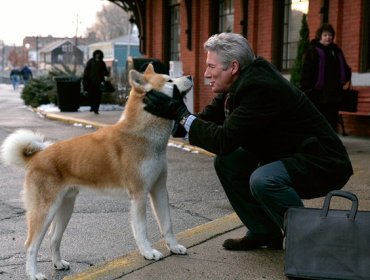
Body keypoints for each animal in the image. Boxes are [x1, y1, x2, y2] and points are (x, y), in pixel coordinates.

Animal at [2, 64, 194, 278]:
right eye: (169, 80)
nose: (190, 76)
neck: (143, 136)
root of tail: (36, 157)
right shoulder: (139, 194)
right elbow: (142, 230)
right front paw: (148, 252)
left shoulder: (159, 189)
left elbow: (168, 225)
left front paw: (174, 247)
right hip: (45, 211)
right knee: (30, 245)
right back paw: (33, 273)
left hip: (65, 207)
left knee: (53, 238)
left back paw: (58, 263)